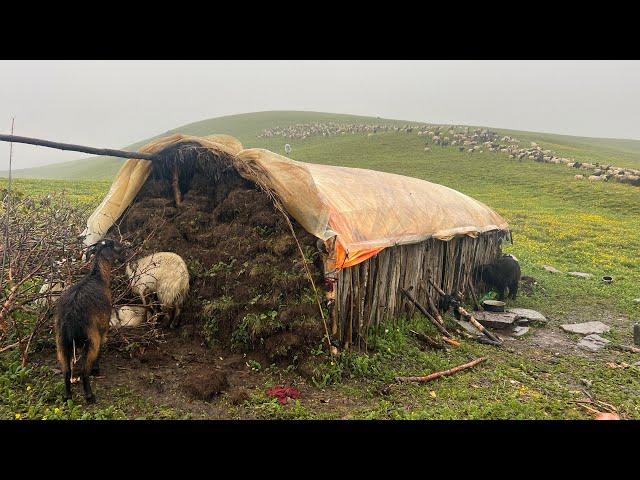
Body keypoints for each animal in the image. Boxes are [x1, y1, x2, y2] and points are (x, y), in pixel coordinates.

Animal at [56, 239, 125, 402]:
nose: (124, 257)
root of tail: (70, 318)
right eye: (115, 246)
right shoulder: (103, 329)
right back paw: (89, 396)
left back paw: (67, 396)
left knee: (66, 370)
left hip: (61, 342)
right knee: (83, 370)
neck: (98, 277)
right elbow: (100, 350)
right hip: (91, 338)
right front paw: (96, 369)